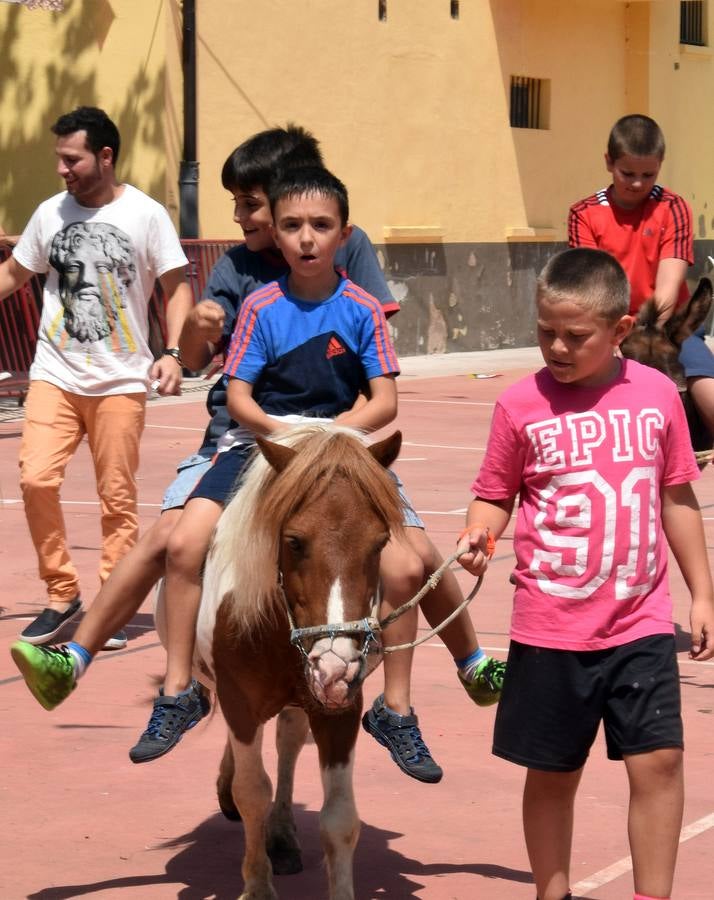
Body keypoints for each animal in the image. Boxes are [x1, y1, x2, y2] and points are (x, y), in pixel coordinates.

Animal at [193, 424, 400, 900]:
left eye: (380, 542)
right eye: (293, 541)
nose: (336, 667)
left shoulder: (339, 709)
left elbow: (340, 819)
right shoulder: (238, 701)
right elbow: (252, 792)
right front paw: (257, 884)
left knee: (286, 745)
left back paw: (283, 835)